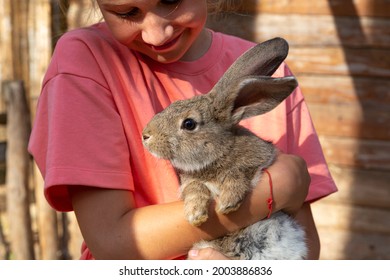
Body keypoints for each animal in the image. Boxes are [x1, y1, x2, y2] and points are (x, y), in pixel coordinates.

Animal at [142, 37, 308, 260]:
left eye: (189, 124)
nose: (146, 135)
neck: (219, 152)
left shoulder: (260, 160)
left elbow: (238, 172)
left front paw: (228, 202)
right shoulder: (190, 181)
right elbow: (195, 186)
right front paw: (195, 213)